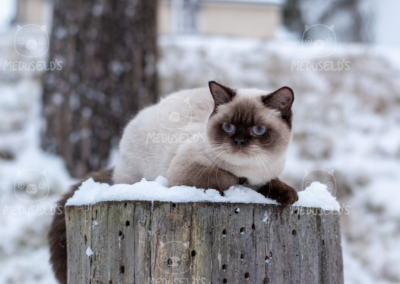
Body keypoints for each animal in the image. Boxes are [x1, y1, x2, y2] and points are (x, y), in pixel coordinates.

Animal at [47, 81, 296, 282]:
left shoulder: (267, 173)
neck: (249, 169)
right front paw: (242, 182)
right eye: (228, 127)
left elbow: (272, 184)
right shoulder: (188, 171)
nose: (240, 141)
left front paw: (288, 195)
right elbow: (228, 179)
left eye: (259, 130)